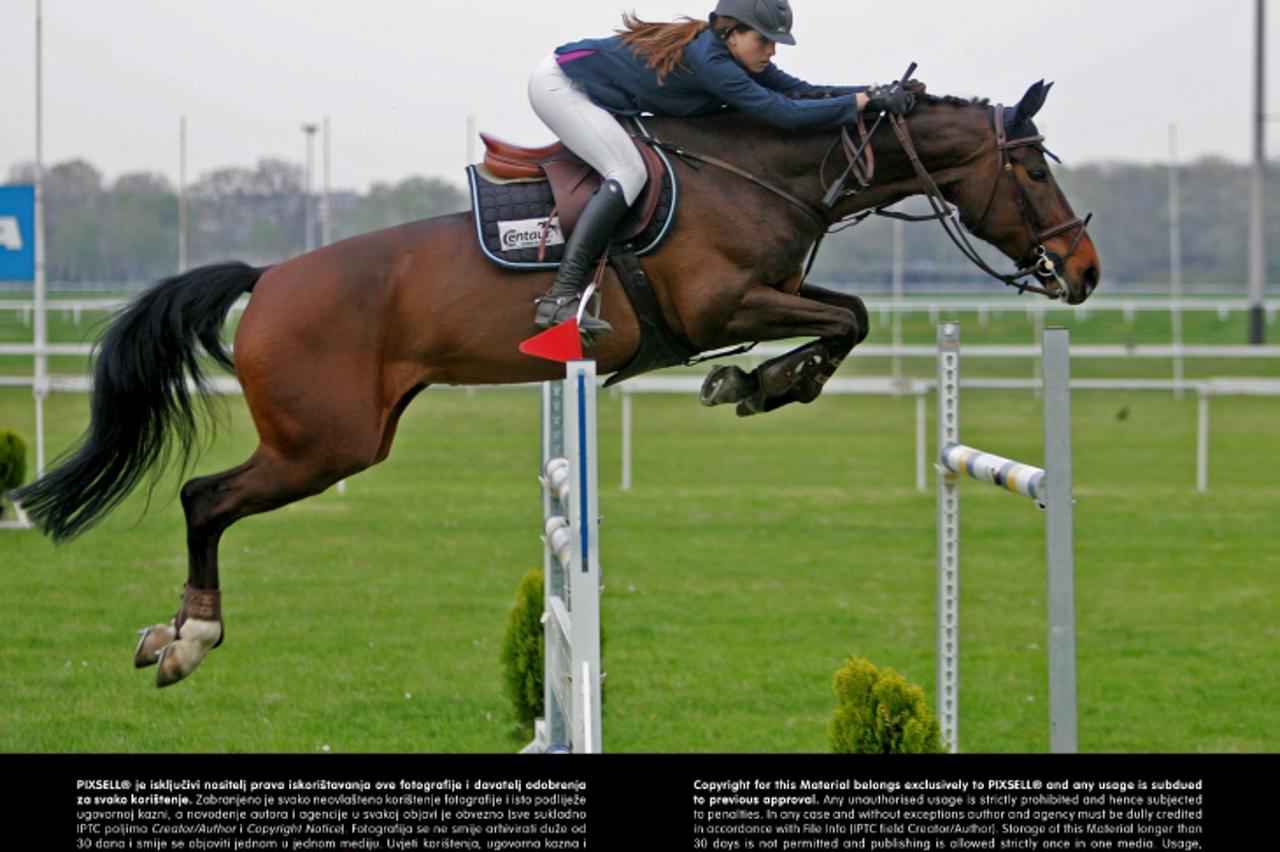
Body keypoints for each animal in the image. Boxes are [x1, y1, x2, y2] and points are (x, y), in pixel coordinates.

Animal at [10, 83, 1100, 685]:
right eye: (1031, 172)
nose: (1082, 271)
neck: (761, 171)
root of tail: (269, 277)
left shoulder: (768, 295)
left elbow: (850, 316)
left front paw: (759, 386)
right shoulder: (722, 307)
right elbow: (845, 320)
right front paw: (757, 386)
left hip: (338, 438)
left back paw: (173, 632)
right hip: (324, 443)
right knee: (205, 498)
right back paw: (189, 636)